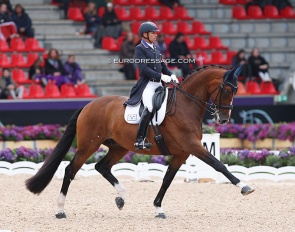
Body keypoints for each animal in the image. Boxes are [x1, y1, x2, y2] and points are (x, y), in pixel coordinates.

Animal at [26, 65, 256, 219]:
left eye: (235, 91)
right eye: (227, 90)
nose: (224, 119)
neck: (185, 105)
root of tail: (88, 105)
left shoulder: (181, 153)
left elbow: (167, 180)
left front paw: (158, 208)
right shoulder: (192, 146)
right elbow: (218, 165)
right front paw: (244, 187)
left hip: (118, 147)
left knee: (102, 167)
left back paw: (121, 197)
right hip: (88, 145)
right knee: (70, 170)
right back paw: (60, 210)